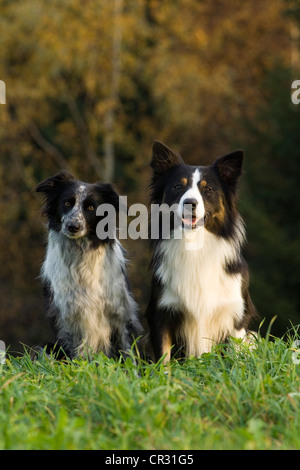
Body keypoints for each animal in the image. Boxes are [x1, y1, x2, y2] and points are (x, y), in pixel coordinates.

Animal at [35, 171, 143, 358]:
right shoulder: (67, 317)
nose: (73, 226)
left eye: (91, 207)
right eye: (67, 203)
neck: (81, 252)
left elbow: (128, 353)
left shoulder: (121, 314)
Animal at [145, 141, 255, 362]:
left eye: (208, 189)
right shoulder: (161, 313)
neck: (195, 246)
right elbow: (163, 360)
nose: (190, 203)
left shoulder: (236, 316)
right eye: (178, 186)